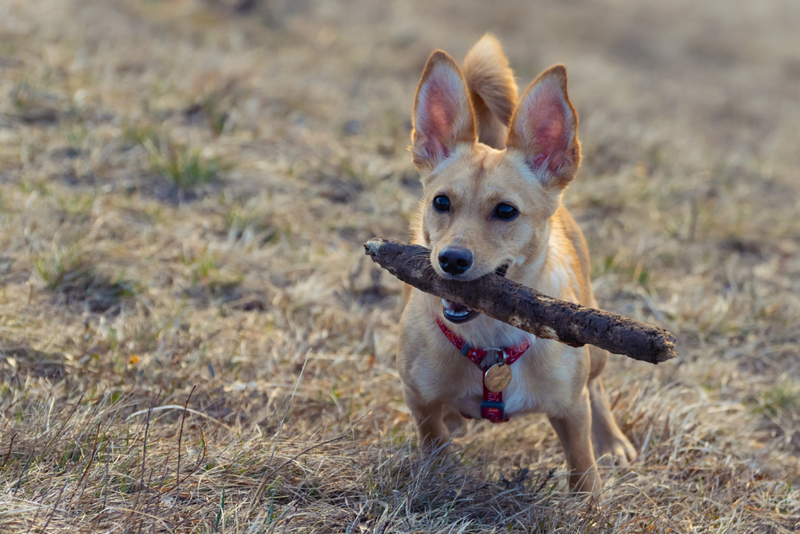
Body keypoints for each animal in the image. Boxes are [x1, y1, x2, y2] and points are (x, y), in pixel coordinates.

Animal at [398, 33, 636, 494]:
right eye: (441, 202)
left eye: (506, 211)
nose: (451, 259)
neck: (490, 341)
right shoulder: (417, 397)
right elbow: (432, 438)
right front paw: (438, 476)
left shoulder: (570, 410)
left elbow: (583, 468)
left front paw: (591, 504)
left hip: (596, 350)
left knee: (597, 387)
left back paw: (612, 440)